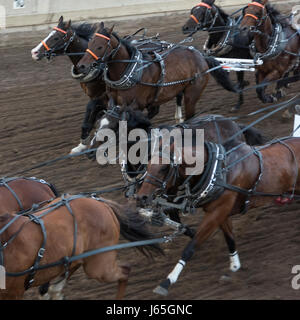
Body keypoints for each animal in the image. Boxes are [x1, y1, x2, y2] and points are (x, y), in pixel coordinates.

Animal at [77, 22, 237, 124]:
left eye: (100, 46)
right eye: (89, 42)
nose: (81, 66)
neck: (129, 72)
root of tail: (201, 56)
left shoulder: (136, 105)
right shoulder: (111, 101)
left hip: (192, 95)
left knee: (190, 115)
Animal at [136, 132, 300, 296]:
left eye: (164, 168)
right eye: (148, 164)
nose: (141, 197)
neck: (219, 171)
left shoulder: (218, 211)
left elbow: (191, 247)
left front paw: (167, 281)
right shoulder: (220, 212)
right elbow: (230, 238)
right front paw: (234, 266)